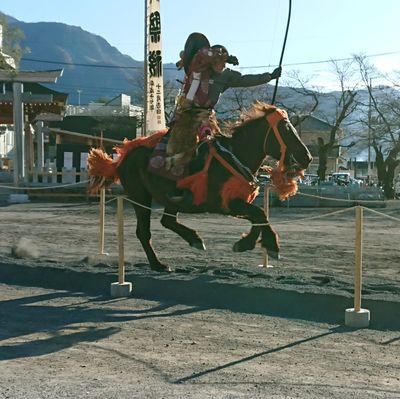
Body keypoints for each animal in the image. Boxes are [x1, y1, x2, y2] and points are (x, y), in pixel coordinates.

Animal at [87, 101, 312, 274]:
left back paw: (193, 239)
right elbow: (259, 214)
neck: (236, 154)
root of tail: (122, 158)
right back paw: (158, 264)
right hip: (139, 196)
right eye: (285, 129)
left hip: (168, 198)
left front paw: (251, 243)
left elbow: (259, 216)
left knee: (167, 220)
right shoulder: (226, 203)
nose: (307, 157)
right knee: (144, 232)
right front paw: (267, 245)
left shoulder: (237, 203)